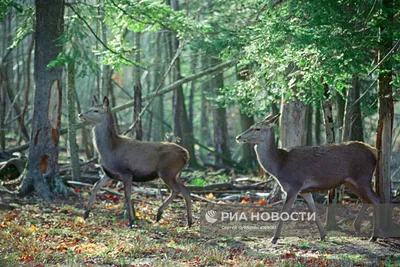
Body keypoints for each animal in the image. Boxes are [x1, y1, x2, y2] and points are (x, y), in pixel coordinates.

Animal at [77, 96, 192, 228]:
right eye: (90, 108)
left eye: (96, 110)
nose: (80, 114)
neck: (110, 149)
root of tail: (186, 154)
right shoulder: (108, 173)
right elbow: (95, 186)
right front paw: (85, 214)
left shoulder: (126, 172)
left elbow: (127, 195)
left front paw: (131, 220)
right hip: (175, 174)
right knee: (186, 191)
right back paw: (189, 222)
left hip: (167, 171)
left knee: (176, 190)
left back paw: (159, 214)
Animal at [236, 114, 382, 244]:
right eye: (251, 126)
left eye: (258, 128)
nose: (238, 137)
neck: (279, 166)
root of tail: (374, 151)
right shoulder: (305, 190)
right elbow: (313, 210)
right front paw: (323, 236)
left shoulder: (294, 185)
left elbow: (284, 212)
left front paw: (274, 238)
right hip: (350, 182)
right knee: (366, 199)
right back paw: (357, 227)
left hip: (363, 177)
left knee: (376, 199)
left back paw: (374, 236)